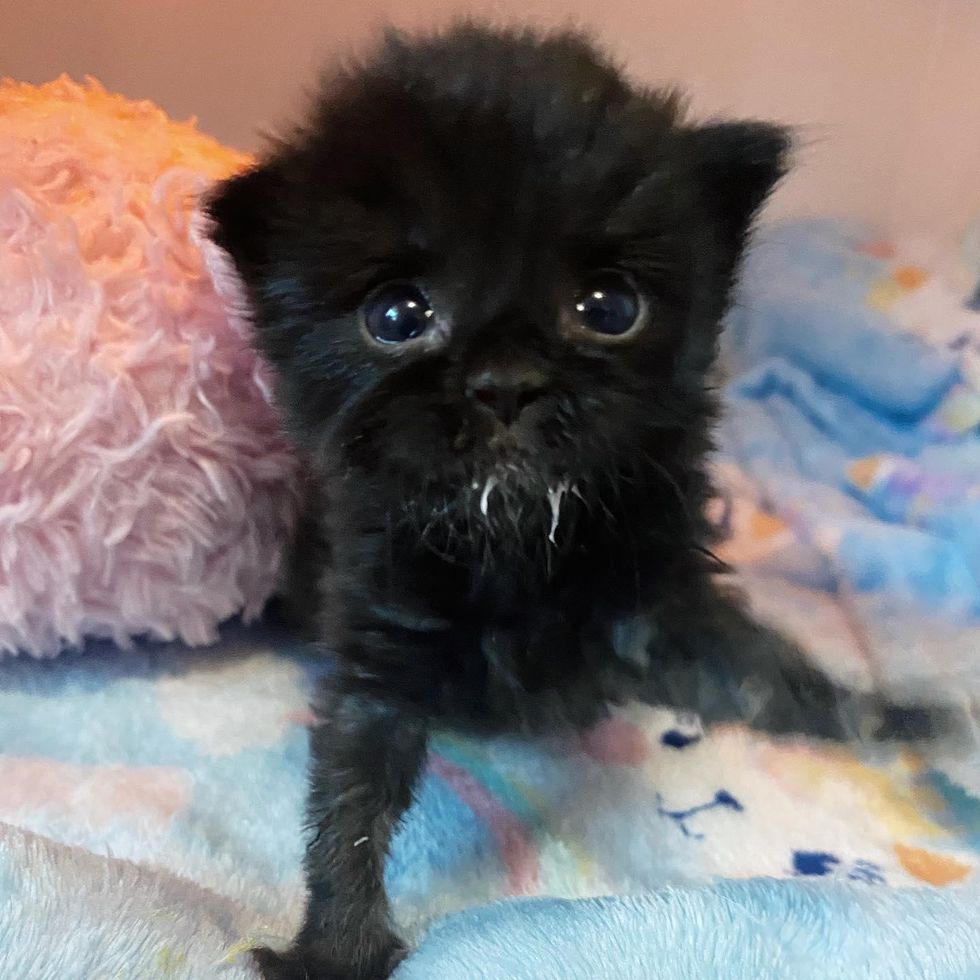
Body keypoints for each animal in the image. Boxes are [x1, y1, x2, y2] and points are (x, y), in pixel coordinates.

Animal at [212, 23, 936, 980]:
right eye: (398, 315)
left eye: (610, 306)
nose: (505, 383)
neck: (518, 537)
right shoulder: (379, 638)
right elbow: (351, 805)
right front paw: (334, 949)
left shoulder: (661, 607)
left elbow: (769, 680)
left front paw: (899, 719)